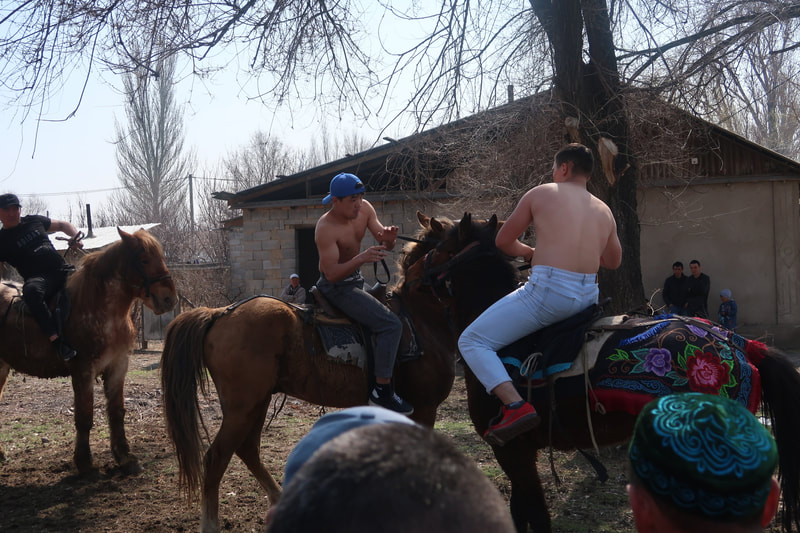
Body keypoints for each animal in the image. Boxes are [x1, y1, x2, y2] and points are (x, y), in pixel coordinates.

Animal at [0, 228, 177, 476]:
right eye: (144, 260)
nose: (169, 299)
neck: (102, 310)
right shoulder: (83, 370)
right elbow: (84, 417)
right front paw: (84, 462)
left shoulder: (118, 366)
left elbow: (116, 412)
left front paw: (125, 457)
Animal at [159, 212, 459, 533]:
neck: (420, 317)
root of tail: (219, 313)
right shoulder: (425, 409)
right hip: (243, 406)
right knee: (216, 458)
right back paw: (212, 523)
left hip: (256, 402)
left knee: (248, 449)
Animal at [420, 212, 800, 533]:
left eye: (434, 247)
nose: (409, 278)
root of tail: (735, 343)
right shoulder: (522, 452)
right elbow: (520, 513)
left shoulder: (513, 452)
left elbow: (536, 517)